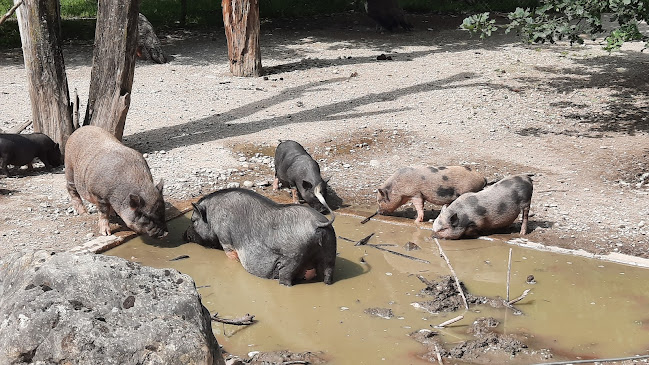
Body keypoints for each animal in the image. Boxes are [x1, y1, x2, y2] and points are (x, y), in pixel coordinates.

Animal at [181, 189, 336, 286]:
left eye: (193, 220)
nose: (184, 235)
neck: (212, 215)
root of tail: (318, 223)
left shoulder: (225, 239)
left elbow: (231, 256)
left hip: (293, 257)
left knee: (286, 278)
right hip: (330, 251)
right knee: (328, 274)